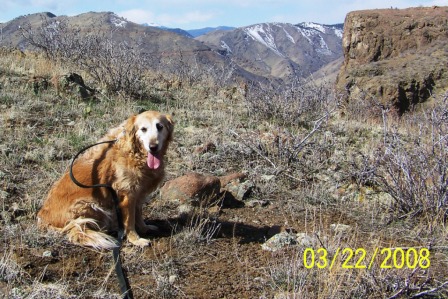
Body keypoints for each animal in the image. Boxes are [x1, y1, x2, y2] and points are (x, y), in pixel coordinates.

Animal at [37, 111, 173, 250]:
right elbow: (130, 221)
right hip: (89, 204)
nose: (153, 147)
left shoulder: (138, 193)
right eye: (143, 129)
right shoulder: (127, 196)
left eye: (160, 127)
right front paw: (135, 239)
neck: (134, 152)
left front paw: (144, 228)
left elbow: (138, 214)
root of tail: (43, 219)